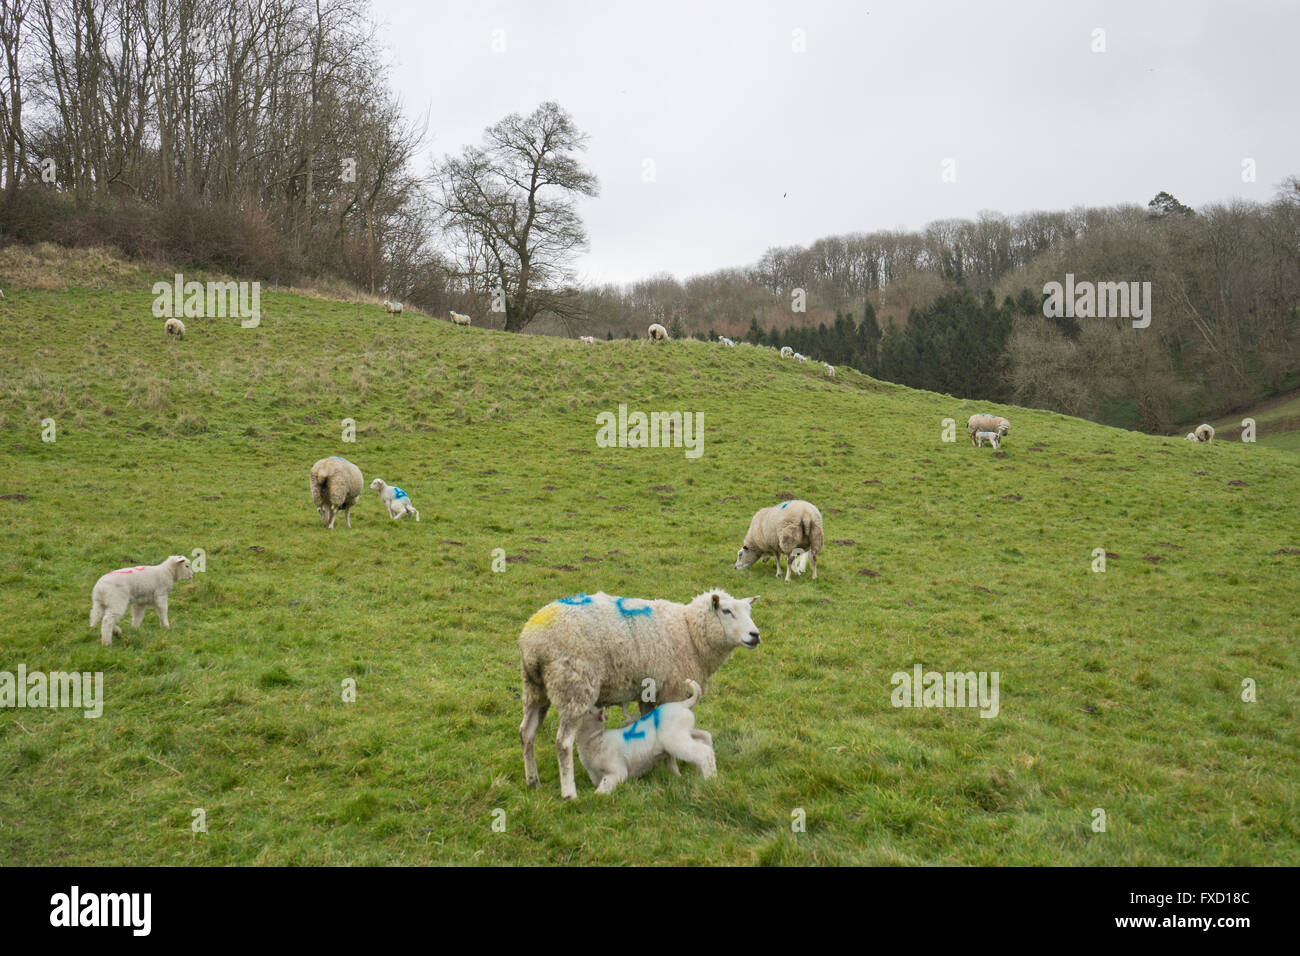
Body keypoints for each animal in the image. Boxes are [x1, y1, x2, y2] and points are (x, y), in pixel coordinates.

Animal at [518, 589, 760, 800]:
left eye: (749, 611)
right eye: (726, 611)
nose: (755, 635)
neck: (689, 632)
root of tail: (532, 640)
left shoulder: (649, 694)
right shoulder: (672, 692)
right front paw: (674, 772)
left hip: (536, 689)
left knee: (526, 733)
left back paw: (532, 781)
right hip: (575, 687)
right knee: (563, 743)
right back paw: (569, 792)